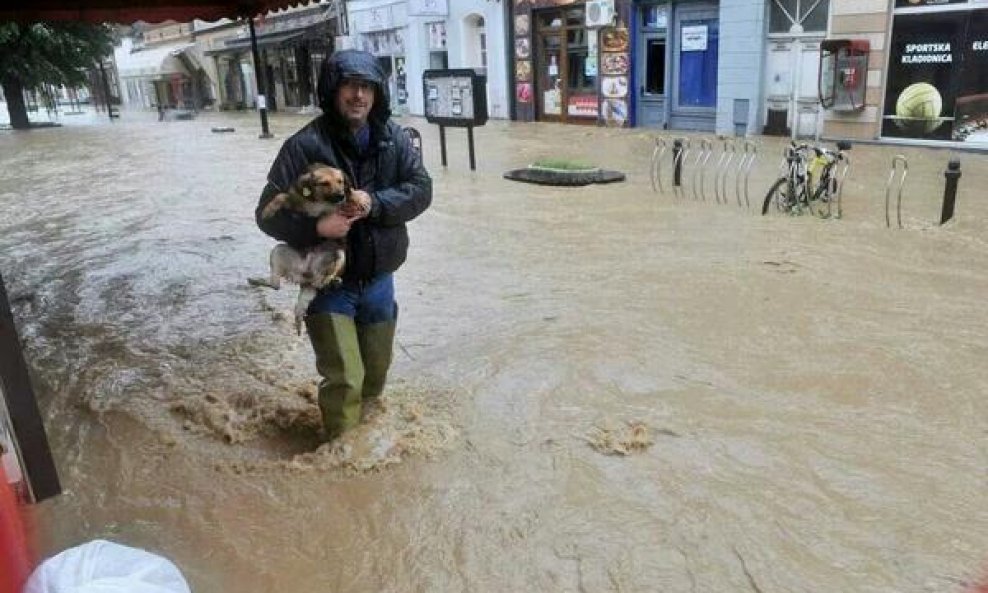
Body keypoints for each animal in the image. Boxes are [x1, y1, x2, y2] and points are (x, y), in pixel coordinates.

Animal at [253, 163, 356, 332]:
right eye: (324, 183)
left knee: (329, 275)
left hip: (340, 253)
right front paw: (268, 210)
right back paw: (256, 281)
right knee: (275, 284)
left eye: (340, 181)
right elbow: (281, 196)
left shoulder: (340, 209)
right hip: (277, 251)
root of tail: (307, 277)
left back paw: (332, 280)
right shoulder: (296, 202)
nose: (341, 195)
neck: (319, 200)